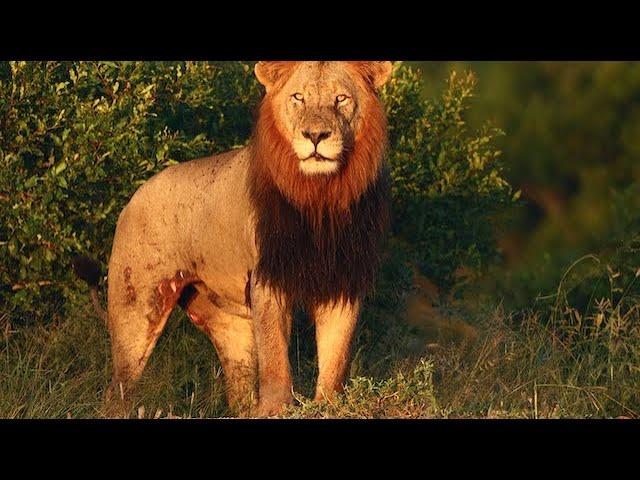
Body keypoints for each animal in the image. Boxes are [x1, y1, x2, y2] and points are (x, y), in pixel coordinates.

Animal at [77, 61, 392, 416]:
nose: (315, 136)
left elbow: (336, 355)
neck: (320, 196)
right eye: (298, 97)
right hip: (136, 312)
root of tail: (132, 199)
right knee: (117, 390)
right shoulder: (267, 278)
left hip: (229, 325)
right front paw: (276, 408)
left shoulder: (343, 281)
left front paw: (329, 405)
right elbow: (274, 355)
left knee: (238, 390)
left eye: (341, 99)